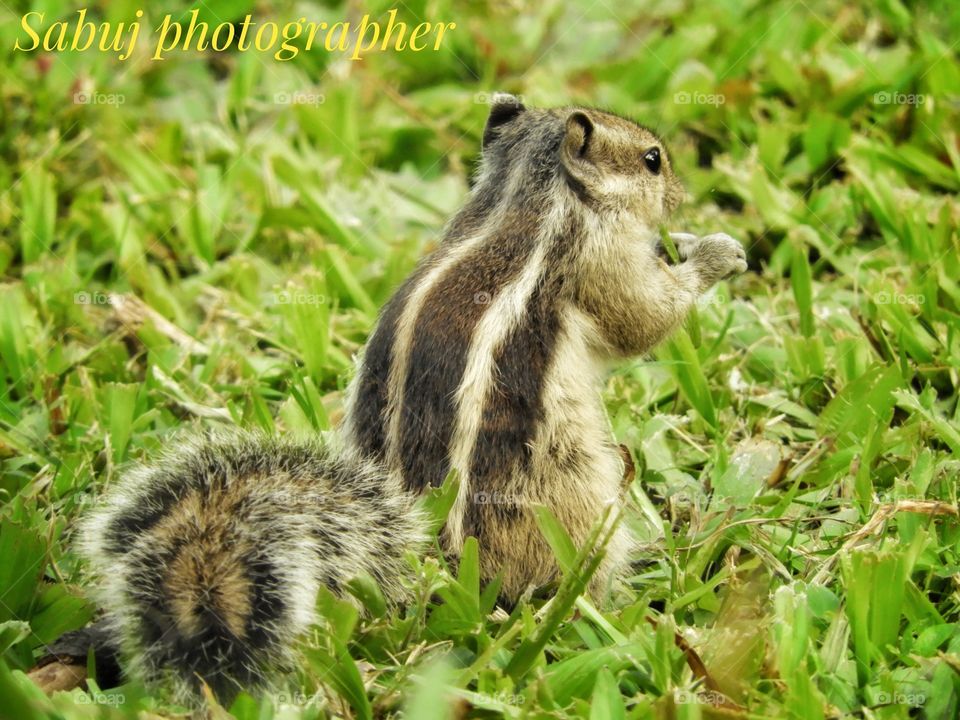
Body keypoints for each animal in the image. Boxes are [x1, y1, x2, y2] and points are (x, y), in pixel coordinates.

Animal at [77, 94, 747, 704]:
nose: (680, 194)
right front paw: (716, 254)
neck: (526, 193)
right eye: (652, 159)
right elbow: (644, 318)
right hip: (573, 498)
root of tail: (437, 572)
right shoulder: (599, 263)